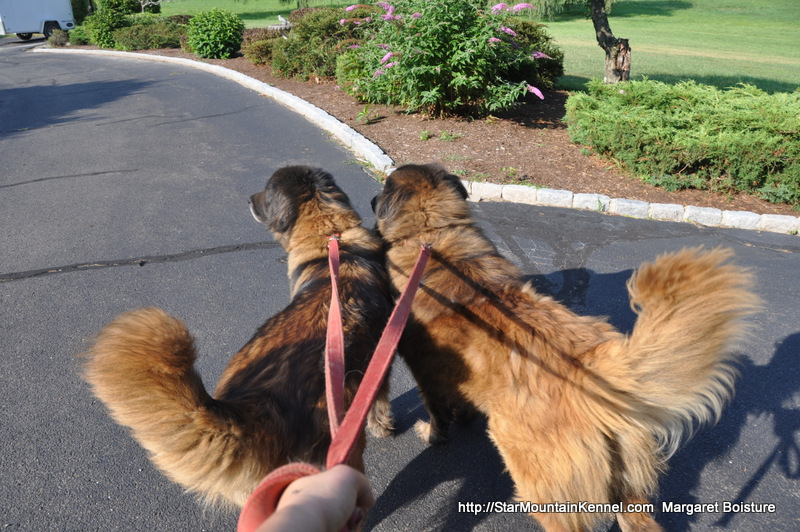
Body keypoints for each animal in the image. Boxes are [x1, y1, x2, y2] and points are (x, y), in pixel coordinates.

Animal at [372, 162, 760, 532]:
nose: (373, 200)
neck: (433, 237)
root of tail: (595, 373)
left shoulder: (424, 372)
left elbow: (437, 412)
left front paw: (432, 434)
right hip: (626, 483)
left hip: (540, 484)